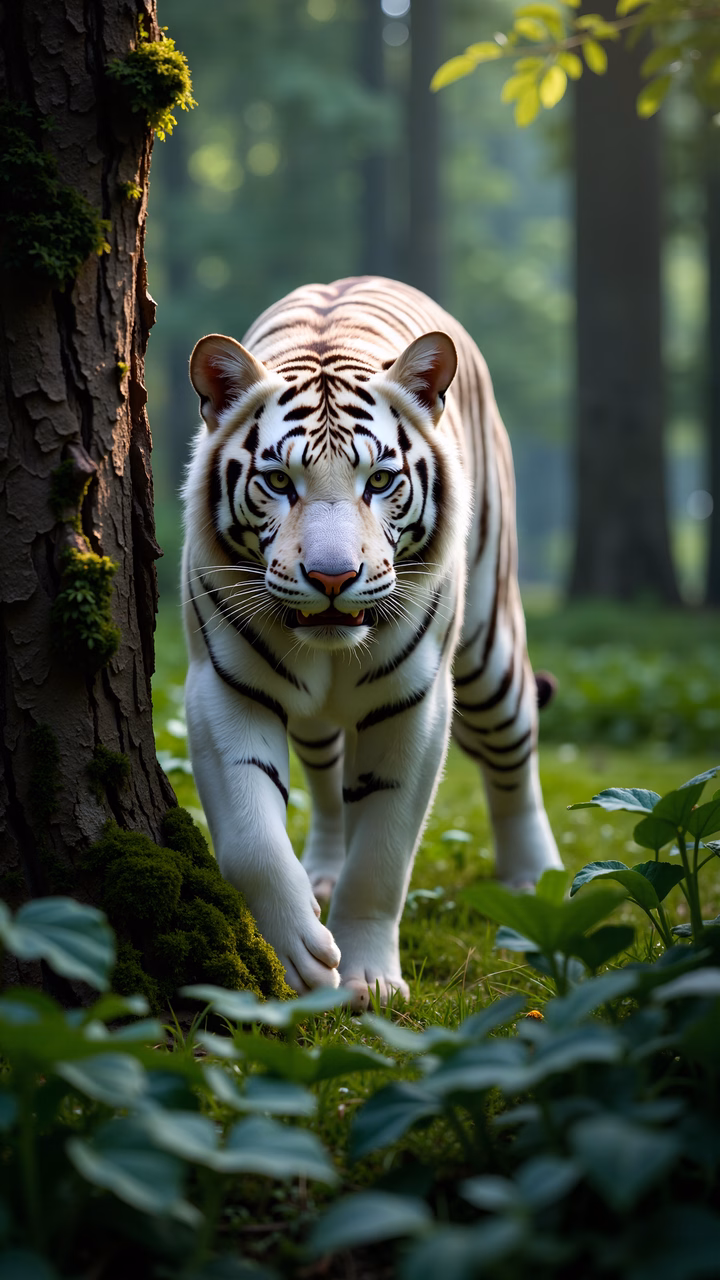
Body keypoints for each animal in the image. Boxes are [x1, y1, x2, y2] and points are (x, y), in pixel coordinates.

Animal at [182, 275, 562, 1009]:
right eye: (279, 481)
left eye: (380, 481)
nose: (333, 577)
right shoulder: (224, 689)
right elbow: (250, 837)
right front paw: (302, 952)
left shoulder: (415, 706)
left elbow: (382, 859)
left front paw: (370, 981)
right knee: (329, 785)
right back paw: (321, 873)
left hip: (490, 651)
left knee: (516, 750)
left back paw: (535, 879)